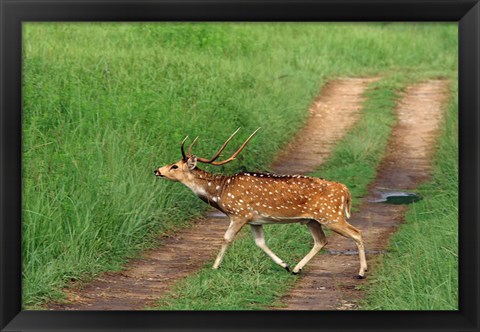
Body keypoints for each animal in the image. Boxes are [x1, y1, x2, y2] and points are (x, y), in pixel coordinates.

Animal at [154, 128, 368, 278]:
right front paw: (285, 265)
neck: (219, 192)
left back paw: (361, 272)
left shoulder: (240, 213)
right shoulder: (255, 220)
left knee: (357, 232)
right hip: (312, 220)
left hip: (331, 215)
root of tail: (344, 190)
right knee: (321, 241)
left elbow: (226, 238)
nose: (157, 170)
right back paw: (296, 268)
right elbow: (260, 243)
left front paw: (214, 267)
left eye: (174, 166)